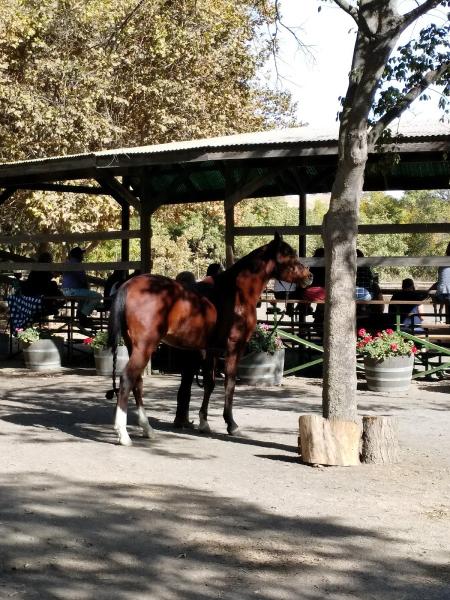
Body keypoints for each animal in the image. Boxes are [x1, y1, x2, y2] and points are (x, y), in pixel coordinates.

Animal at [106, 233, 312, 446]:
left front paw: (204, 423)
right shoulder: (234, 346)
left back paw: (147, 429)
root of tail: (128, 286)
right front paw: (231, 424)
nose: (309, 276)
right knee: (127, 378)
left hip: (134, 346)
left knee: (137, 382)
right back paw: (123, 434)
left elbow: (209, 383)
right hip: (144, 347)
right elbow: (230, 382)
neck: (235, 292)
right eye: (289, 255)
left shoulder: (211, 349)